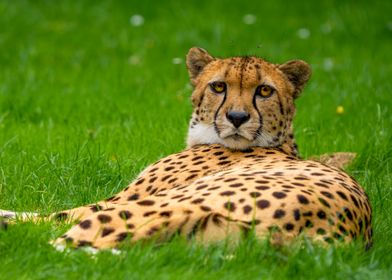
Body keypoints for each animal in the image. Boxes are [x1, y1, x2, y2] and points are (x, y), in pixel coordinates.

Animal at [0, 47, 372, 249]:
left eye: (264, 91)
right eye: (218, 86)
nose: (237, 117)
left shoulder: (120, 200)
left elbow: (55, 213)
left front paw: (9, 216)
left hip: (151, 207)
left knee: (60, 246)